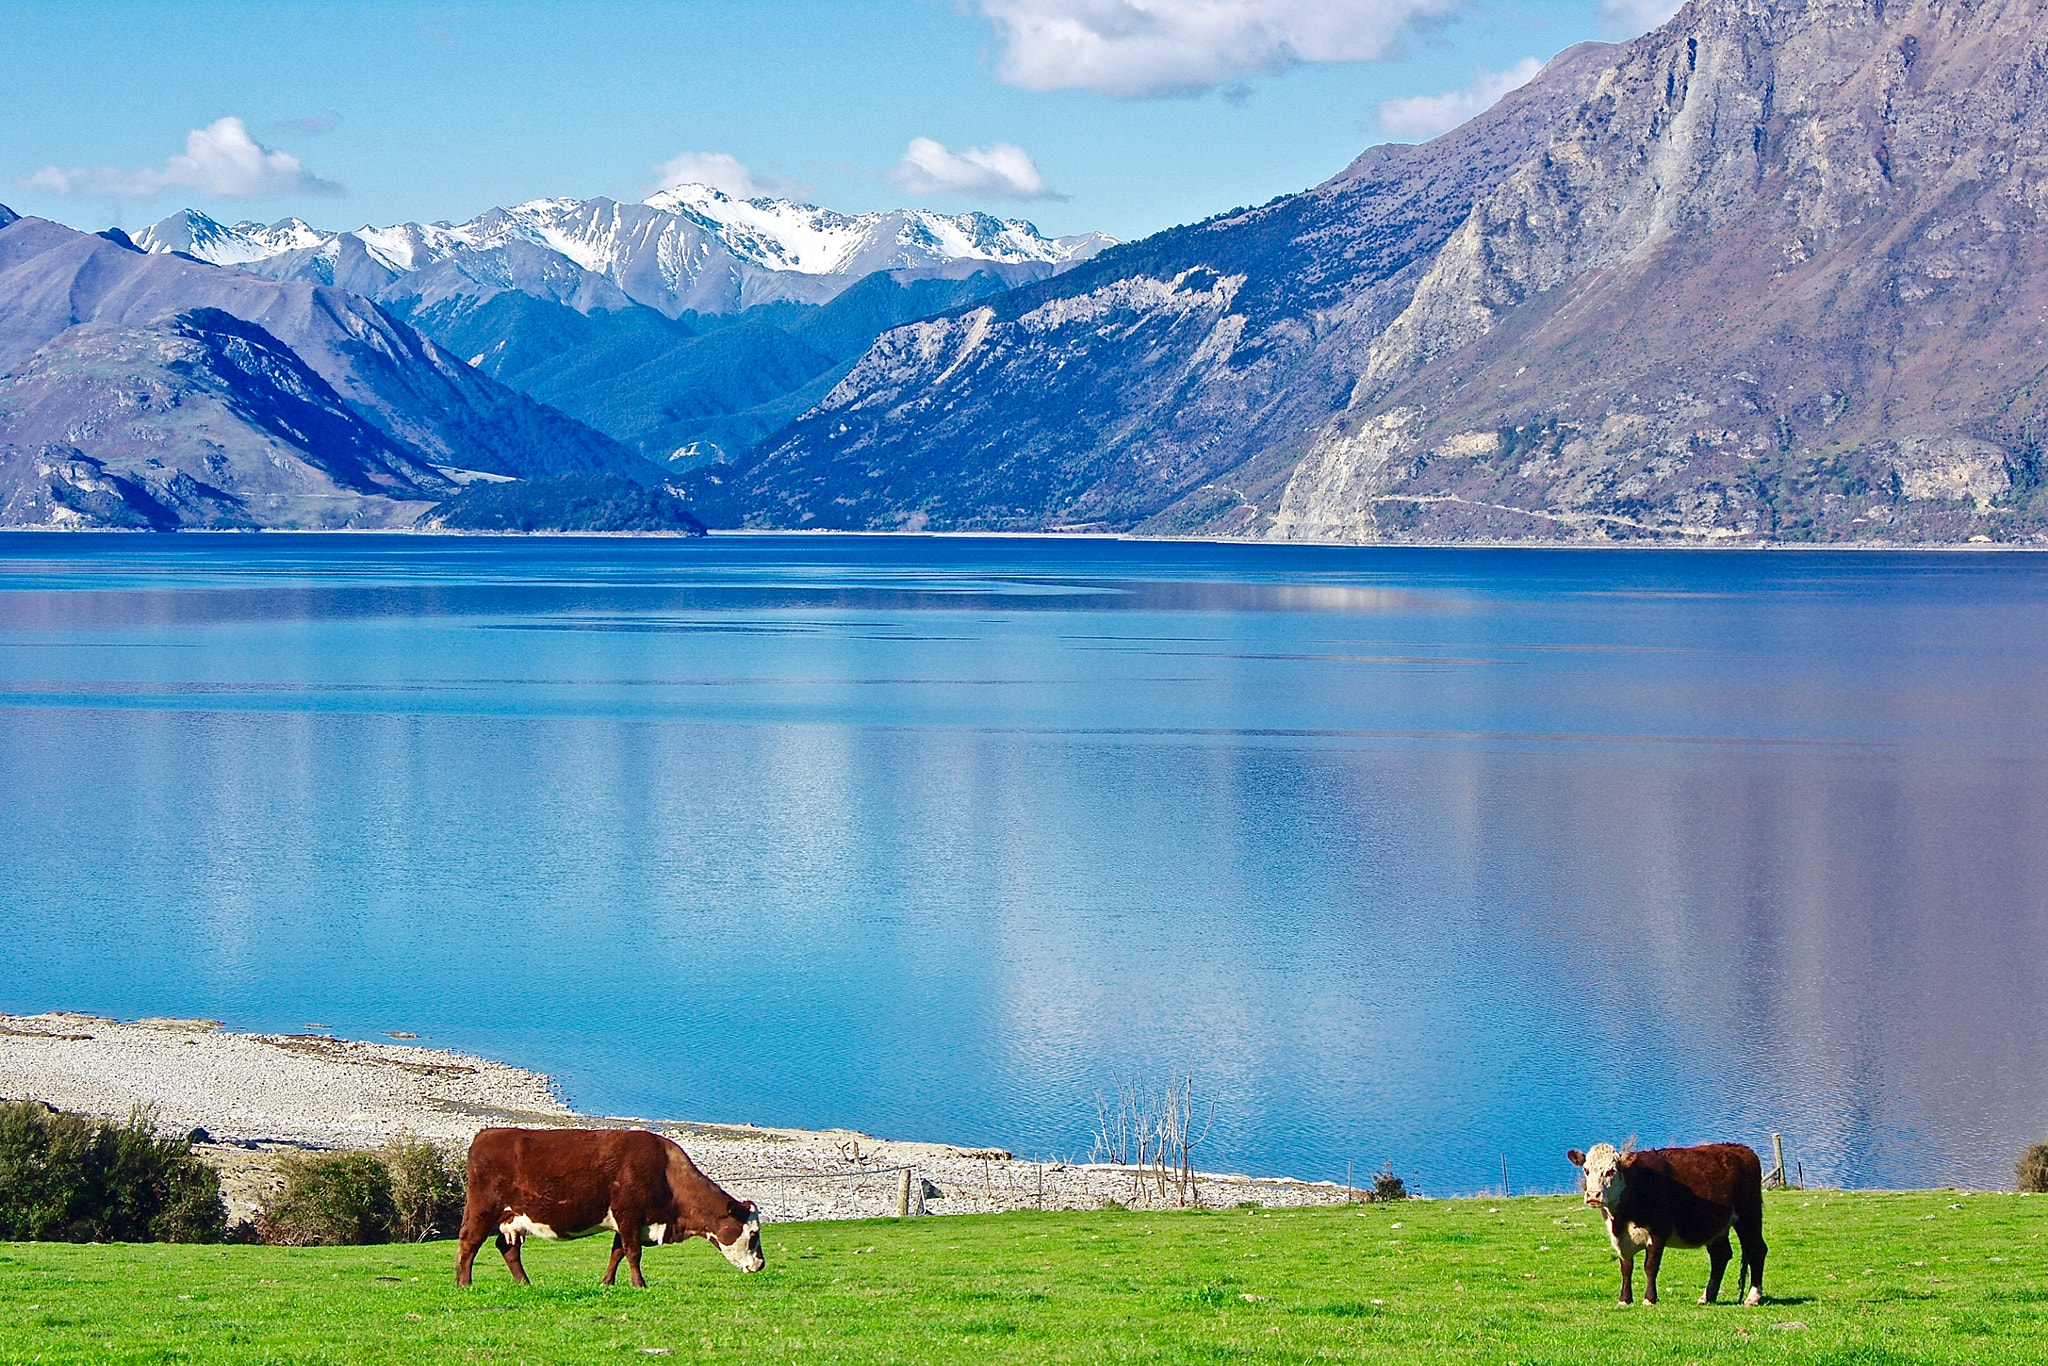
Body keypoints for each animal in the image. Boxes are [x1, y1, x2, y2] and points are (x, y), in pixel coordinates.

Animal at [452, 1130, 765, 1286]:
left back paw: (525, 1284)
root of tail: (486, 1133)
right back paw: (465, 1284)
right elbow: (633, 1253)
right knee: (469, 1243)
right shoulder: (628, 1213)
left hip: (512, 1218)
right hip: (483, 1208)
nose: (761, 1264)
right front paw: (639, 1285)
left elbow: (617, 1252)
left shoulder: (630, 1221)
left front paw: (607, 1284)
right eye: (753, 1235)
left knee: (507, 1248)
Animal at [1564, 1138, 1761, 1310]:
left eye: (1611, 1170)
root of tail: (1742, 1149)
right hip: (1717, 1226)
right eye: (1586, 1170)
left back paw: (1753, 1298)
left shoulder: (1658, 1232)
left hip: (1749, 1215)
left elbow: (1650, 1266)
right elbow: (1626, 1267)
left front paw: (1649, 1299)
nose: (1593, 1195)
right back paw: (1707, 1297)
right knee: (1720, 1255)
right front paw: (1625, 1299)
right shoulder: (1619, 1239)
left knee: (1756, 1250)